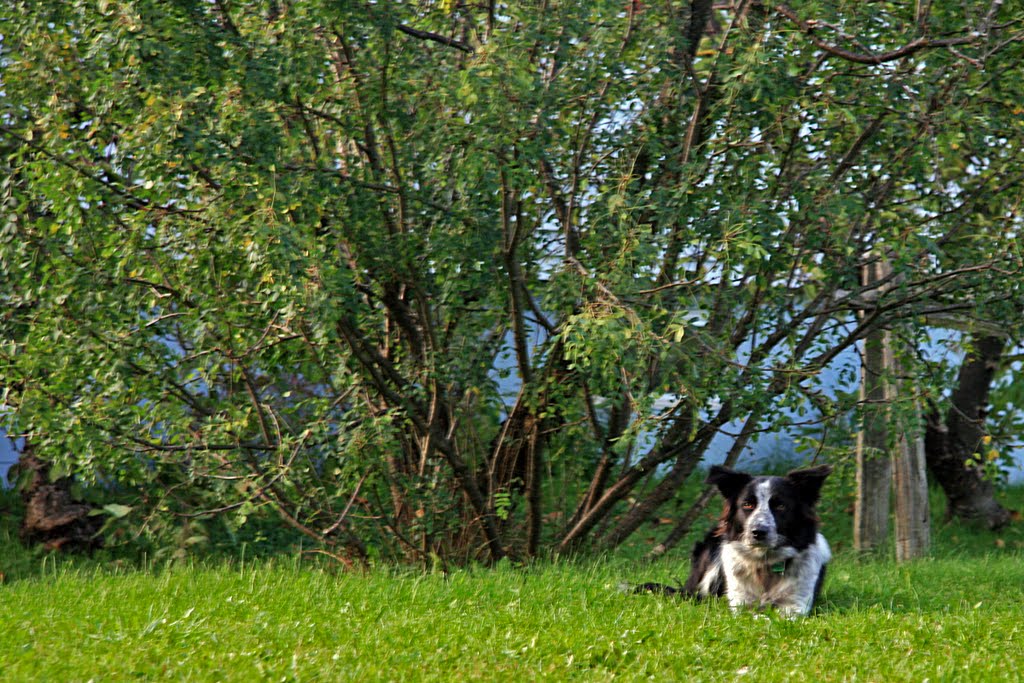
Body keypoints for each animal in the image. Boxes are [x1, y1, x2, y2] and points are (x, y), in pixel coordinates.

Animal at [638, 464, 831, 618]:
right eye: (747, 505)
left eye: (781, 506)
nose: (758, 532)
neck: (764, 563)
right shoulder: (739, 603)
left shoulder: (796, 605)